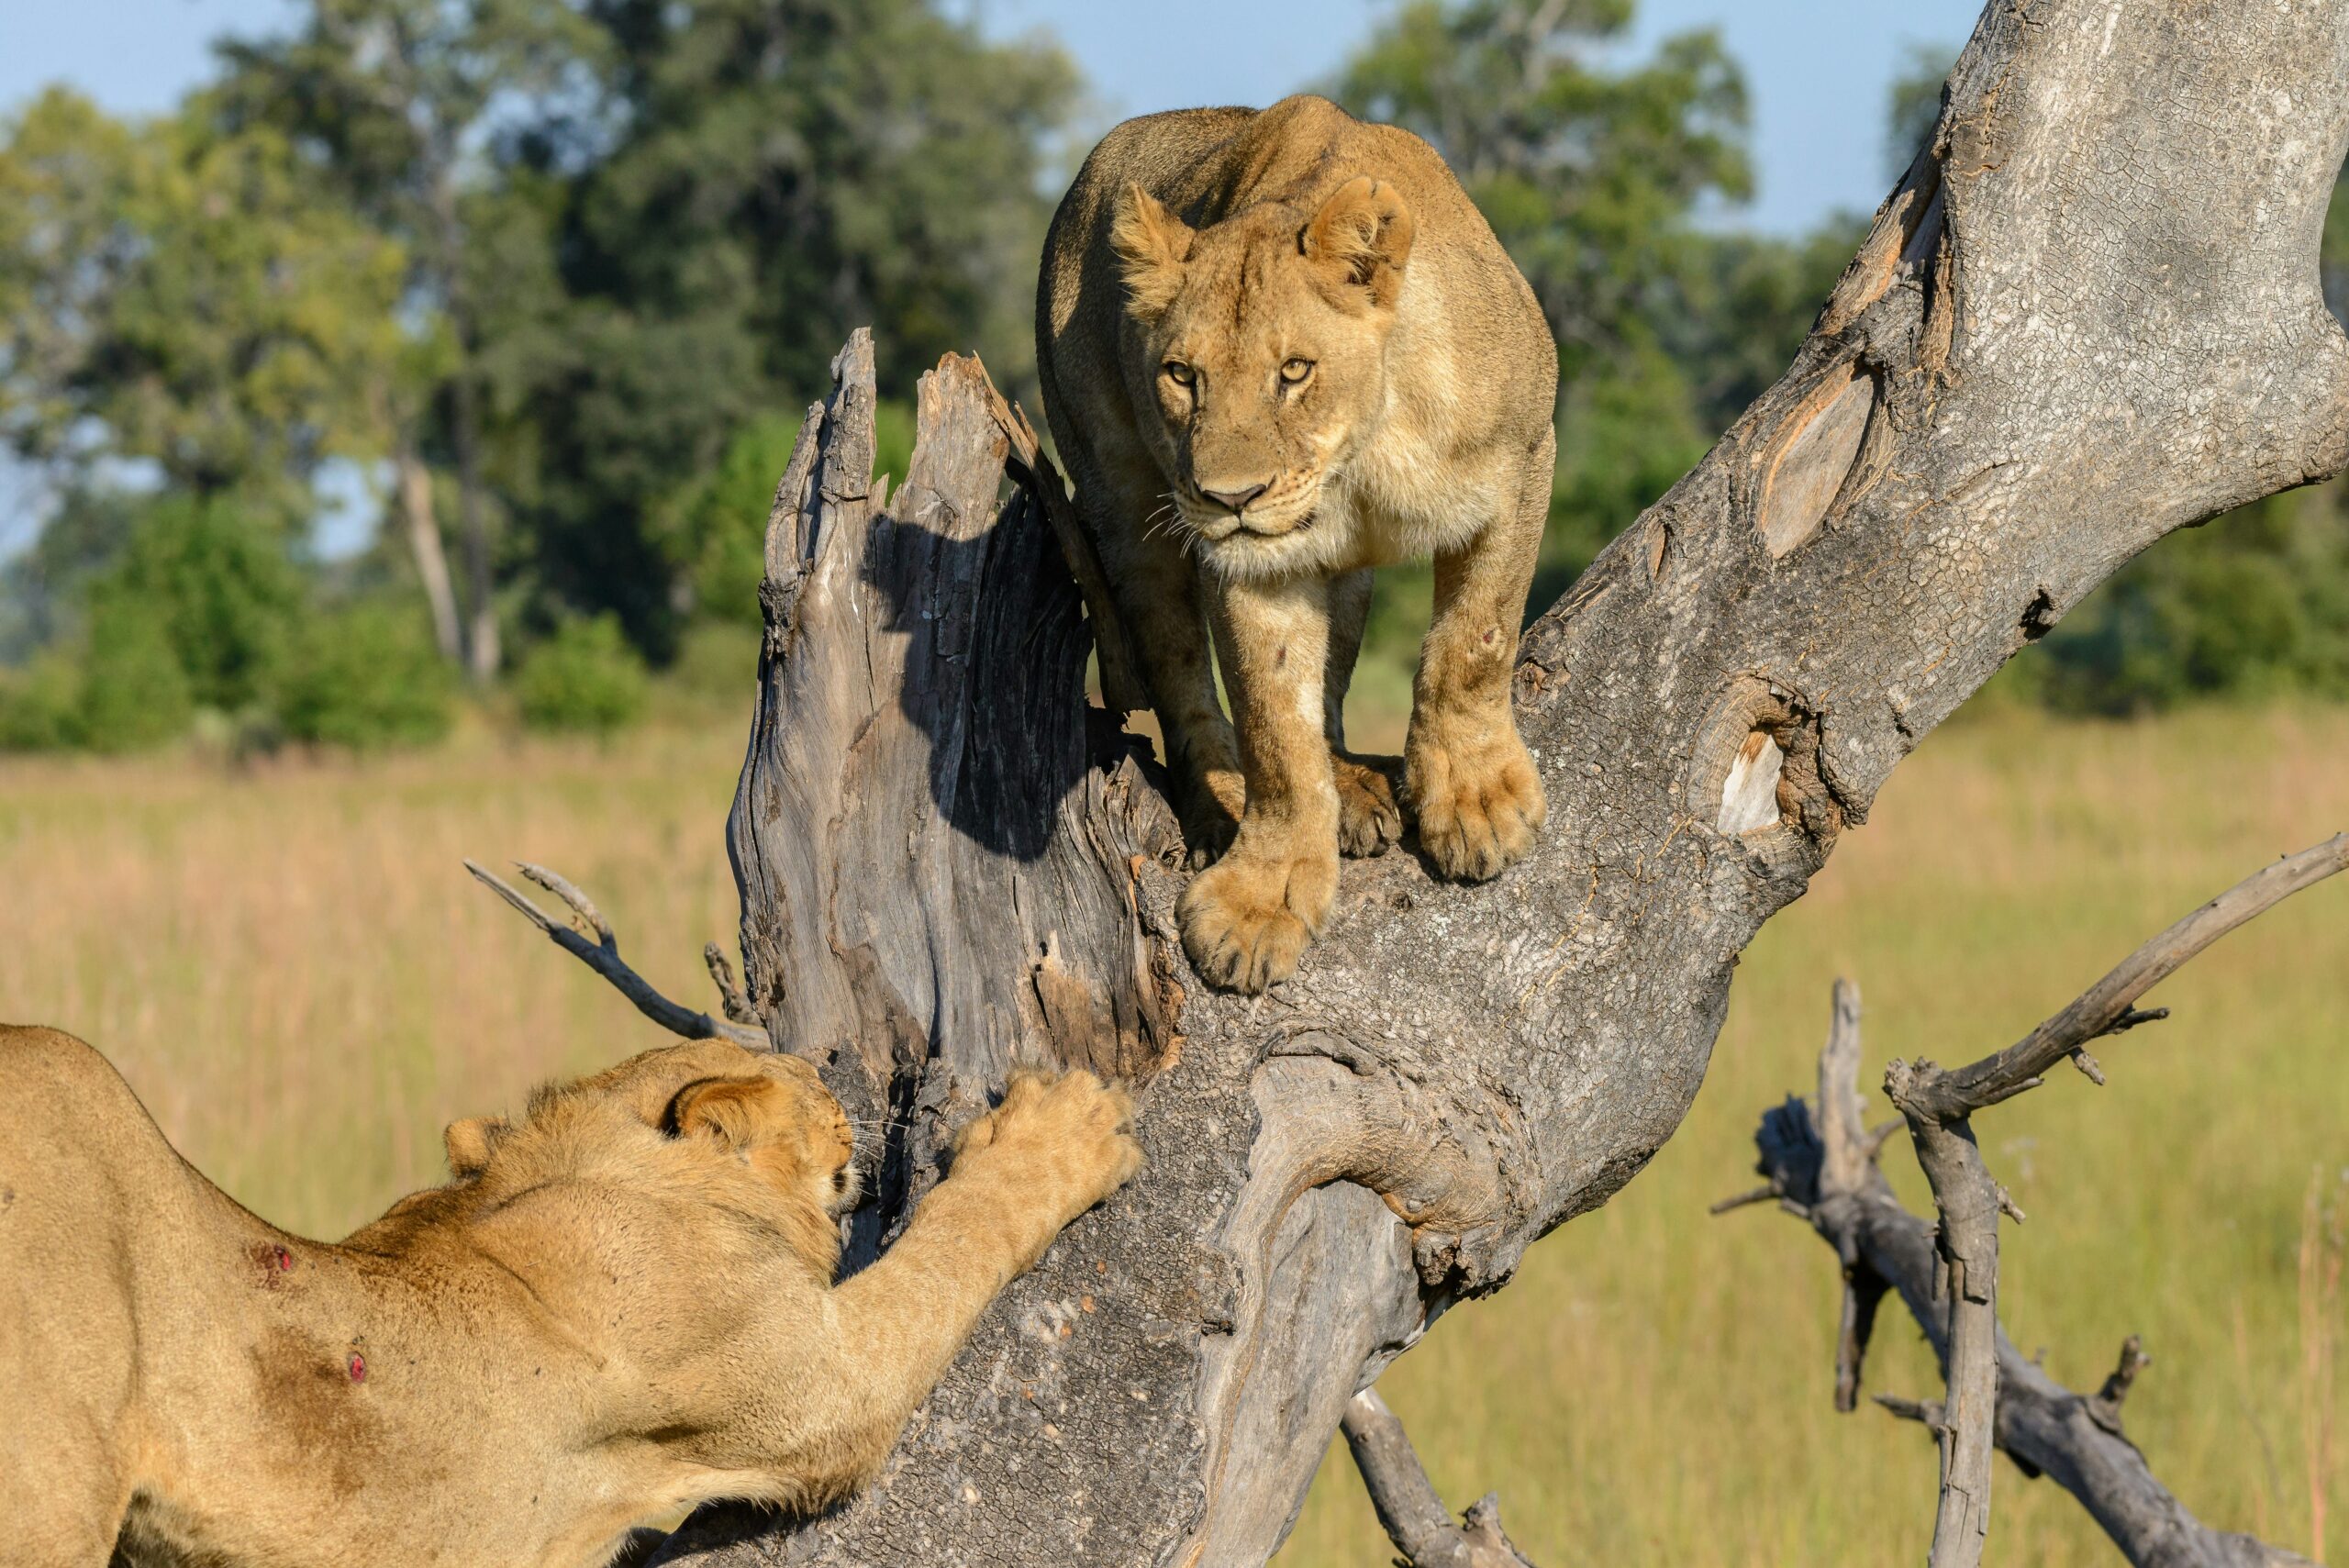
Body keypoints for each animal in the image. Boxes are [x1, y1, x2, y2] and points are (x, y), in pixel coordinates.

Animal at [1037, 93, 1559, 994]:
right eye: (1182, 375)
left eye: (1294, 370)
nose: (1228, 498)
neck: (1362, 448)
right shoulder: (1253, 564)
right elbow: (1274, 726)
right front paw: (1260, 898)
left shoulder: (1525, 456)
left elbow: (1475, 639)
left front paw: (1477, 801)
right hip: (1120, 497)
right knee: (1180, 673)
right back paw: (1221, 808)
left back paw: (1351, 783)